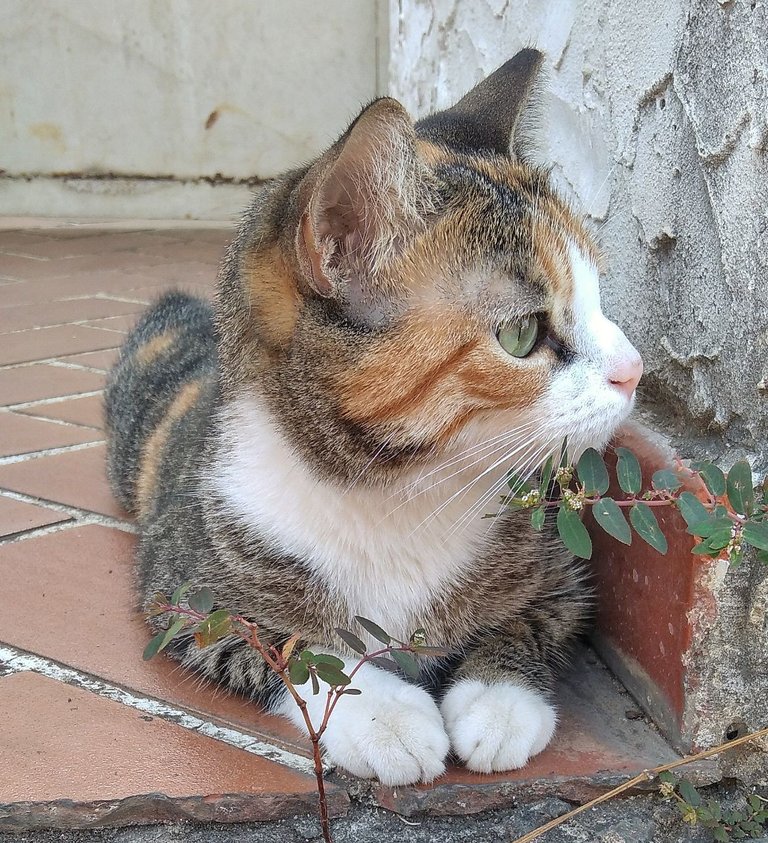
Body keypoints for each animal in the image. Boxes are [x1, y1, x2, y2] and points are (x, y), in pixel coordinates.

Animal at [103, 51, 640, 792]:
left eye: (598, 301)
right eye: (523, 334)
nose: (634, 368)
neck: (401, 491)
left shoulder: (559, 570)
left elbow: (536, 618)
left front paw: (499, 703)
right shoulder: (184, 589)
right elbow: (284, 643)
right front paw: (388, 717)